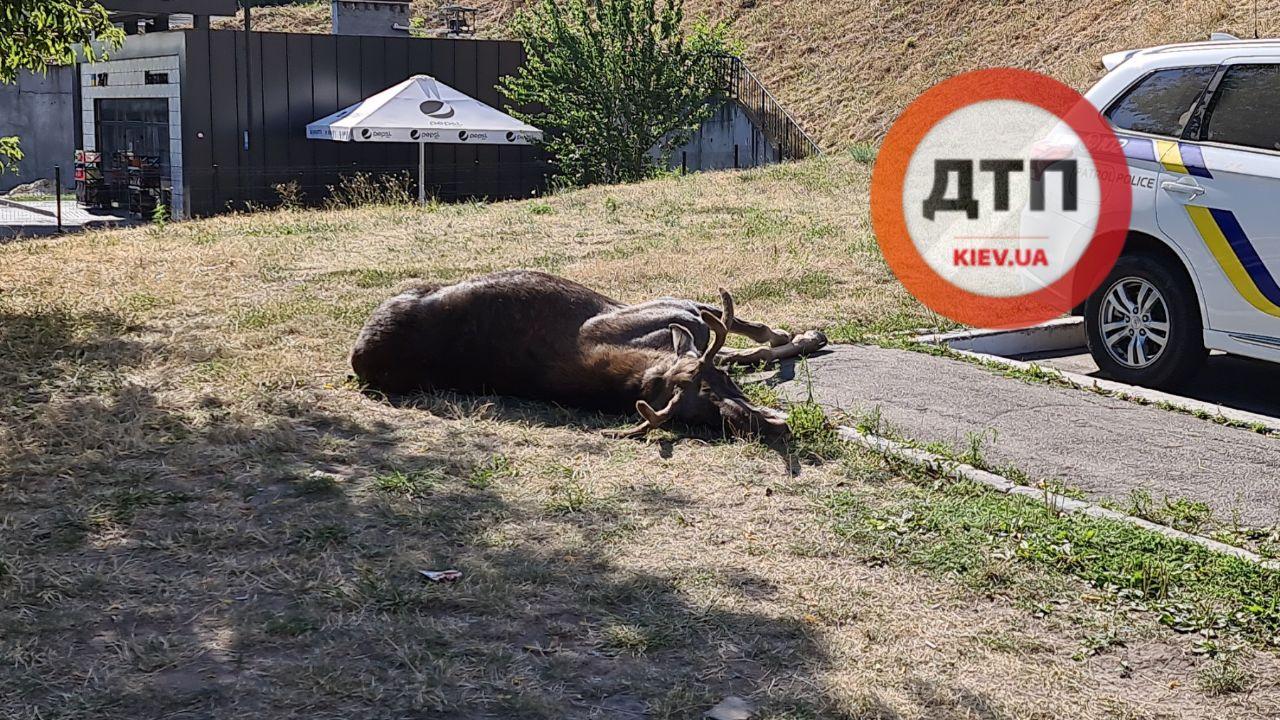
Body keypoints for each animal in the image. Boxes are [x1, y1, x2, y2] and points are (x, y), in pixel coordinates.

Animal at [353, 269, 829, 438]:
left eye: (721, 391)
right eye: (706, 419)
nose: (771, 425)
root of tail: (356, 357)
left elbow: (740, 342)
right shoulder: (676, 311)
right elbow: (751, 342)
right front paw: (802, 335)